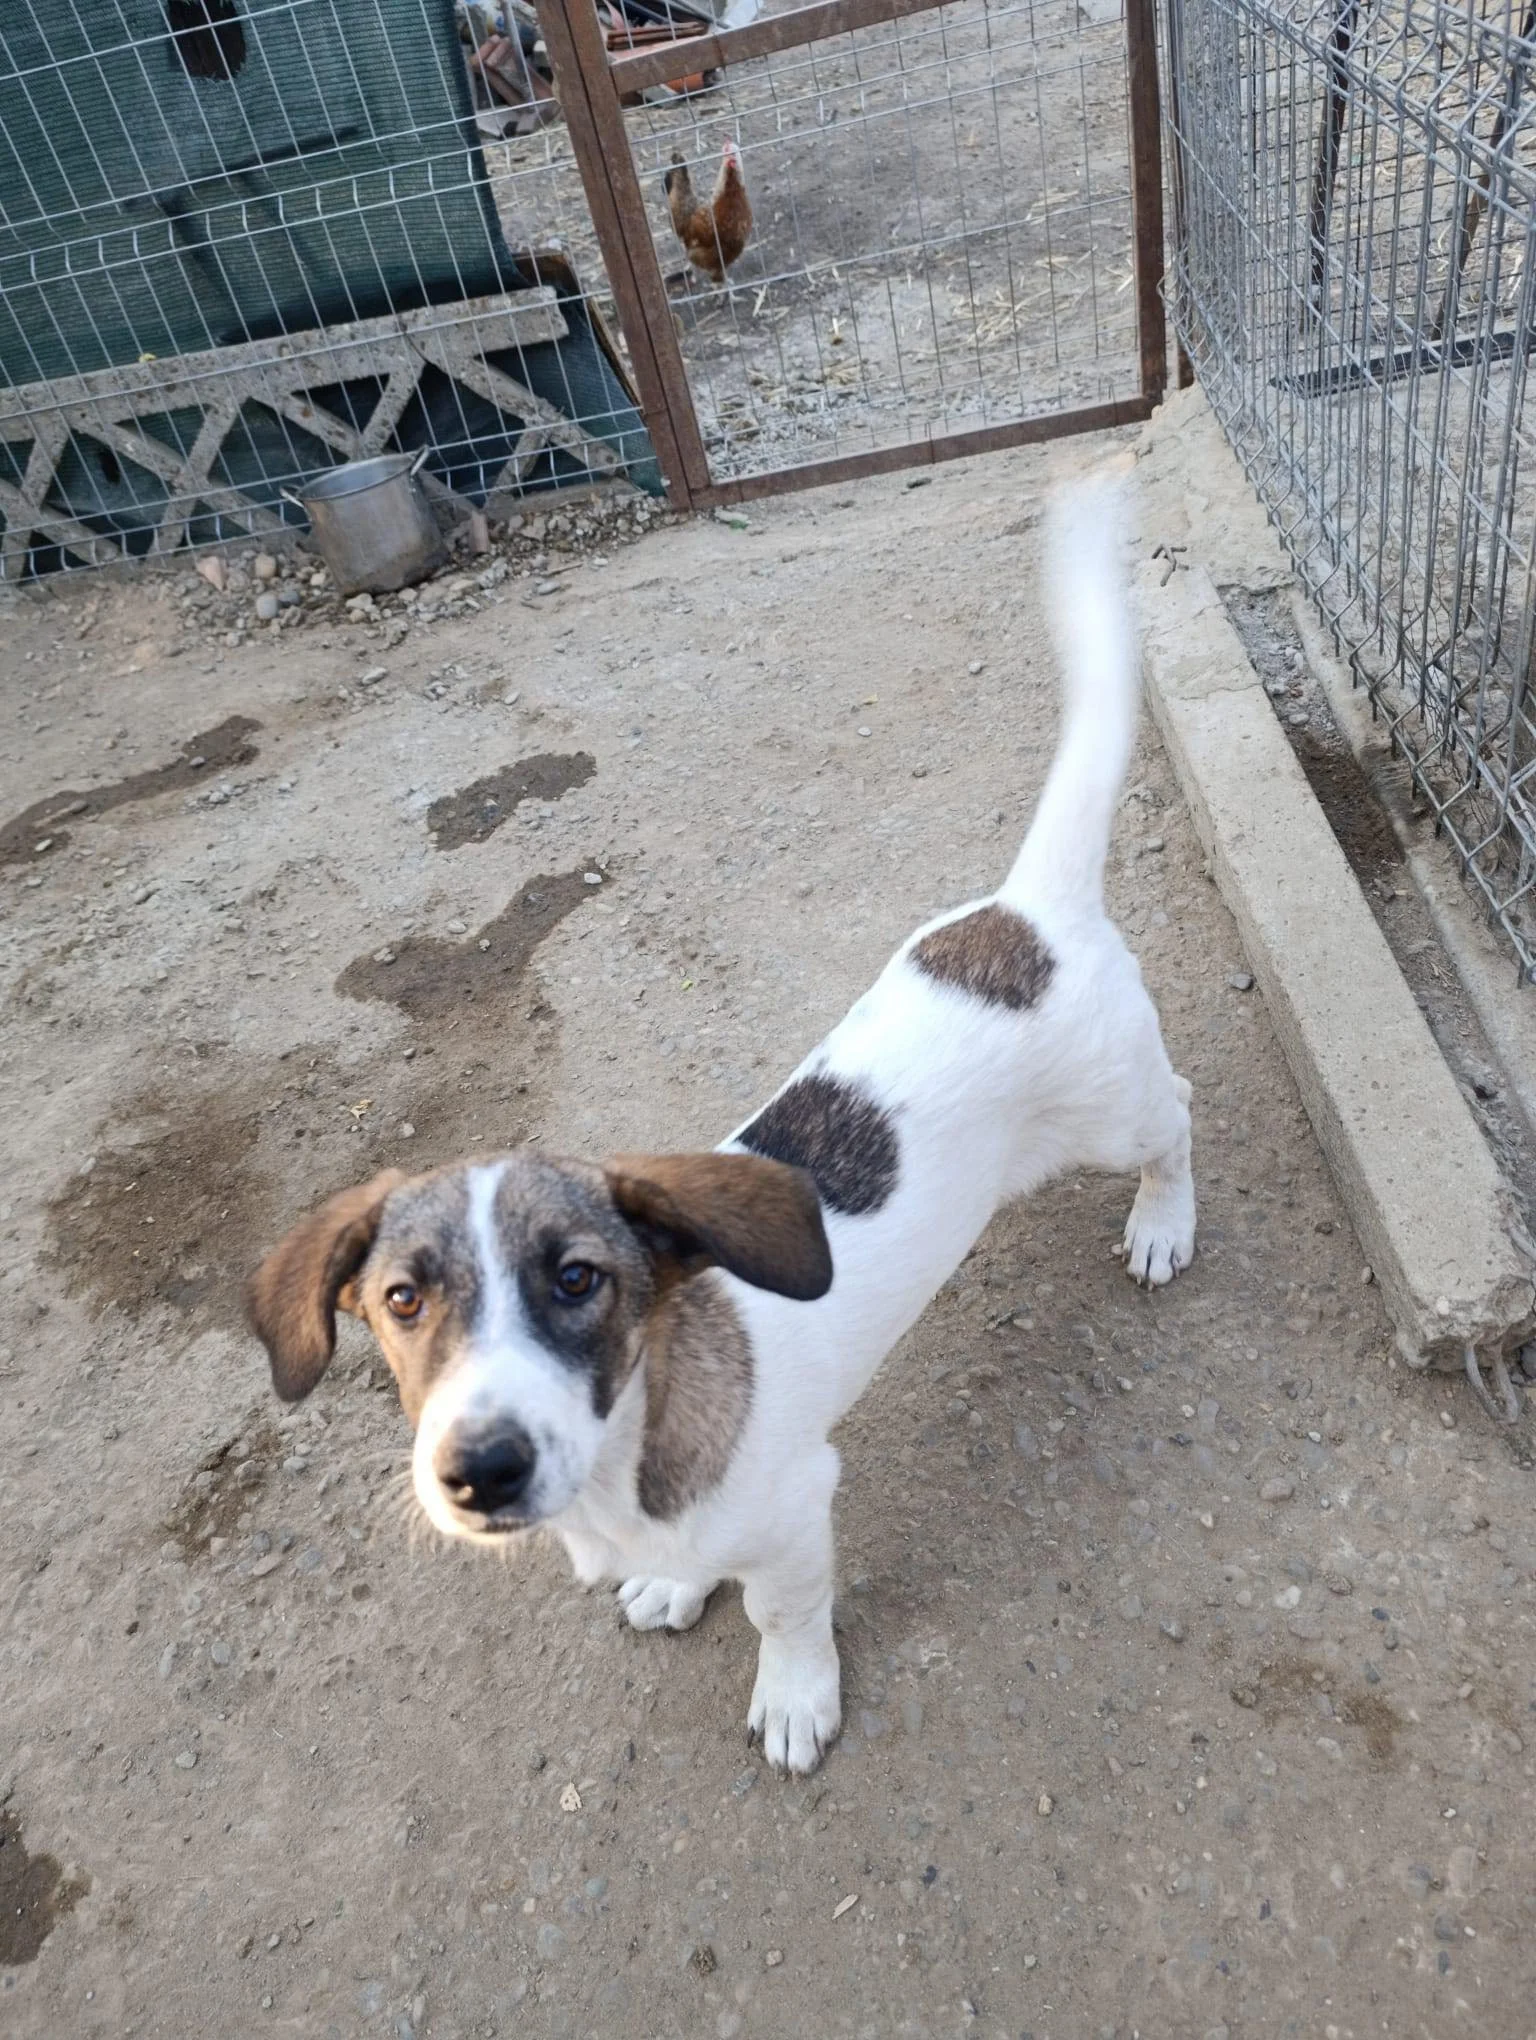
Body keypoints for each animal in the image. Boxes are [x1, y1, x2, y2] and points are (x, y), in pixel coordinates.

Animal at [248, 473, 1195, 1775]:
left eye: (580, 1280)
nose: (478, 1471)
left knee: (1176, 1121)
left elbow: (781, 1615)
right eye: (401, 1300)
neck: (622, 1461)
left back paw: (1165, 1224)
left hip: (1116, 1105)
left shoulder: (798, 1515)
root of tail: (1026, 911)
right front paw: (672, 1589)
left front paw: (794, 1696)